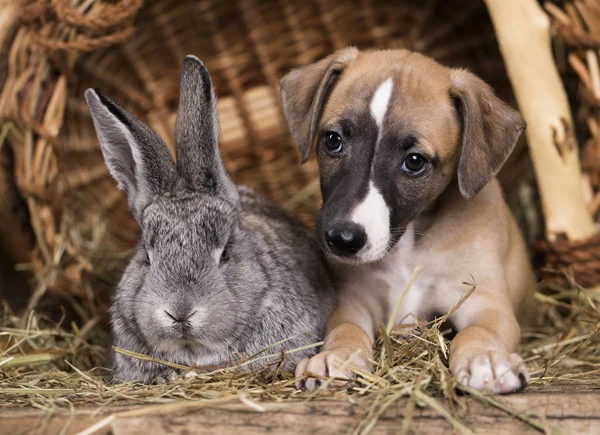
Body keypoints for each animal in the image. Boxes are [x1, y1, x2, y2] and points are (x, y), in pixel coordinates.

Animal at [278, 47, 536, 396]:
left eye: (414, 161)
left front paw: (486, 359)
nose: (343, 239)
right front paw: (336, 357)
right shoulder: (354, 299)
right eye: (332, 140)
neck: (408, 244)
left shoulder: (484, 302)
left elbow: (479, 331)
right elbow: (345, 328)